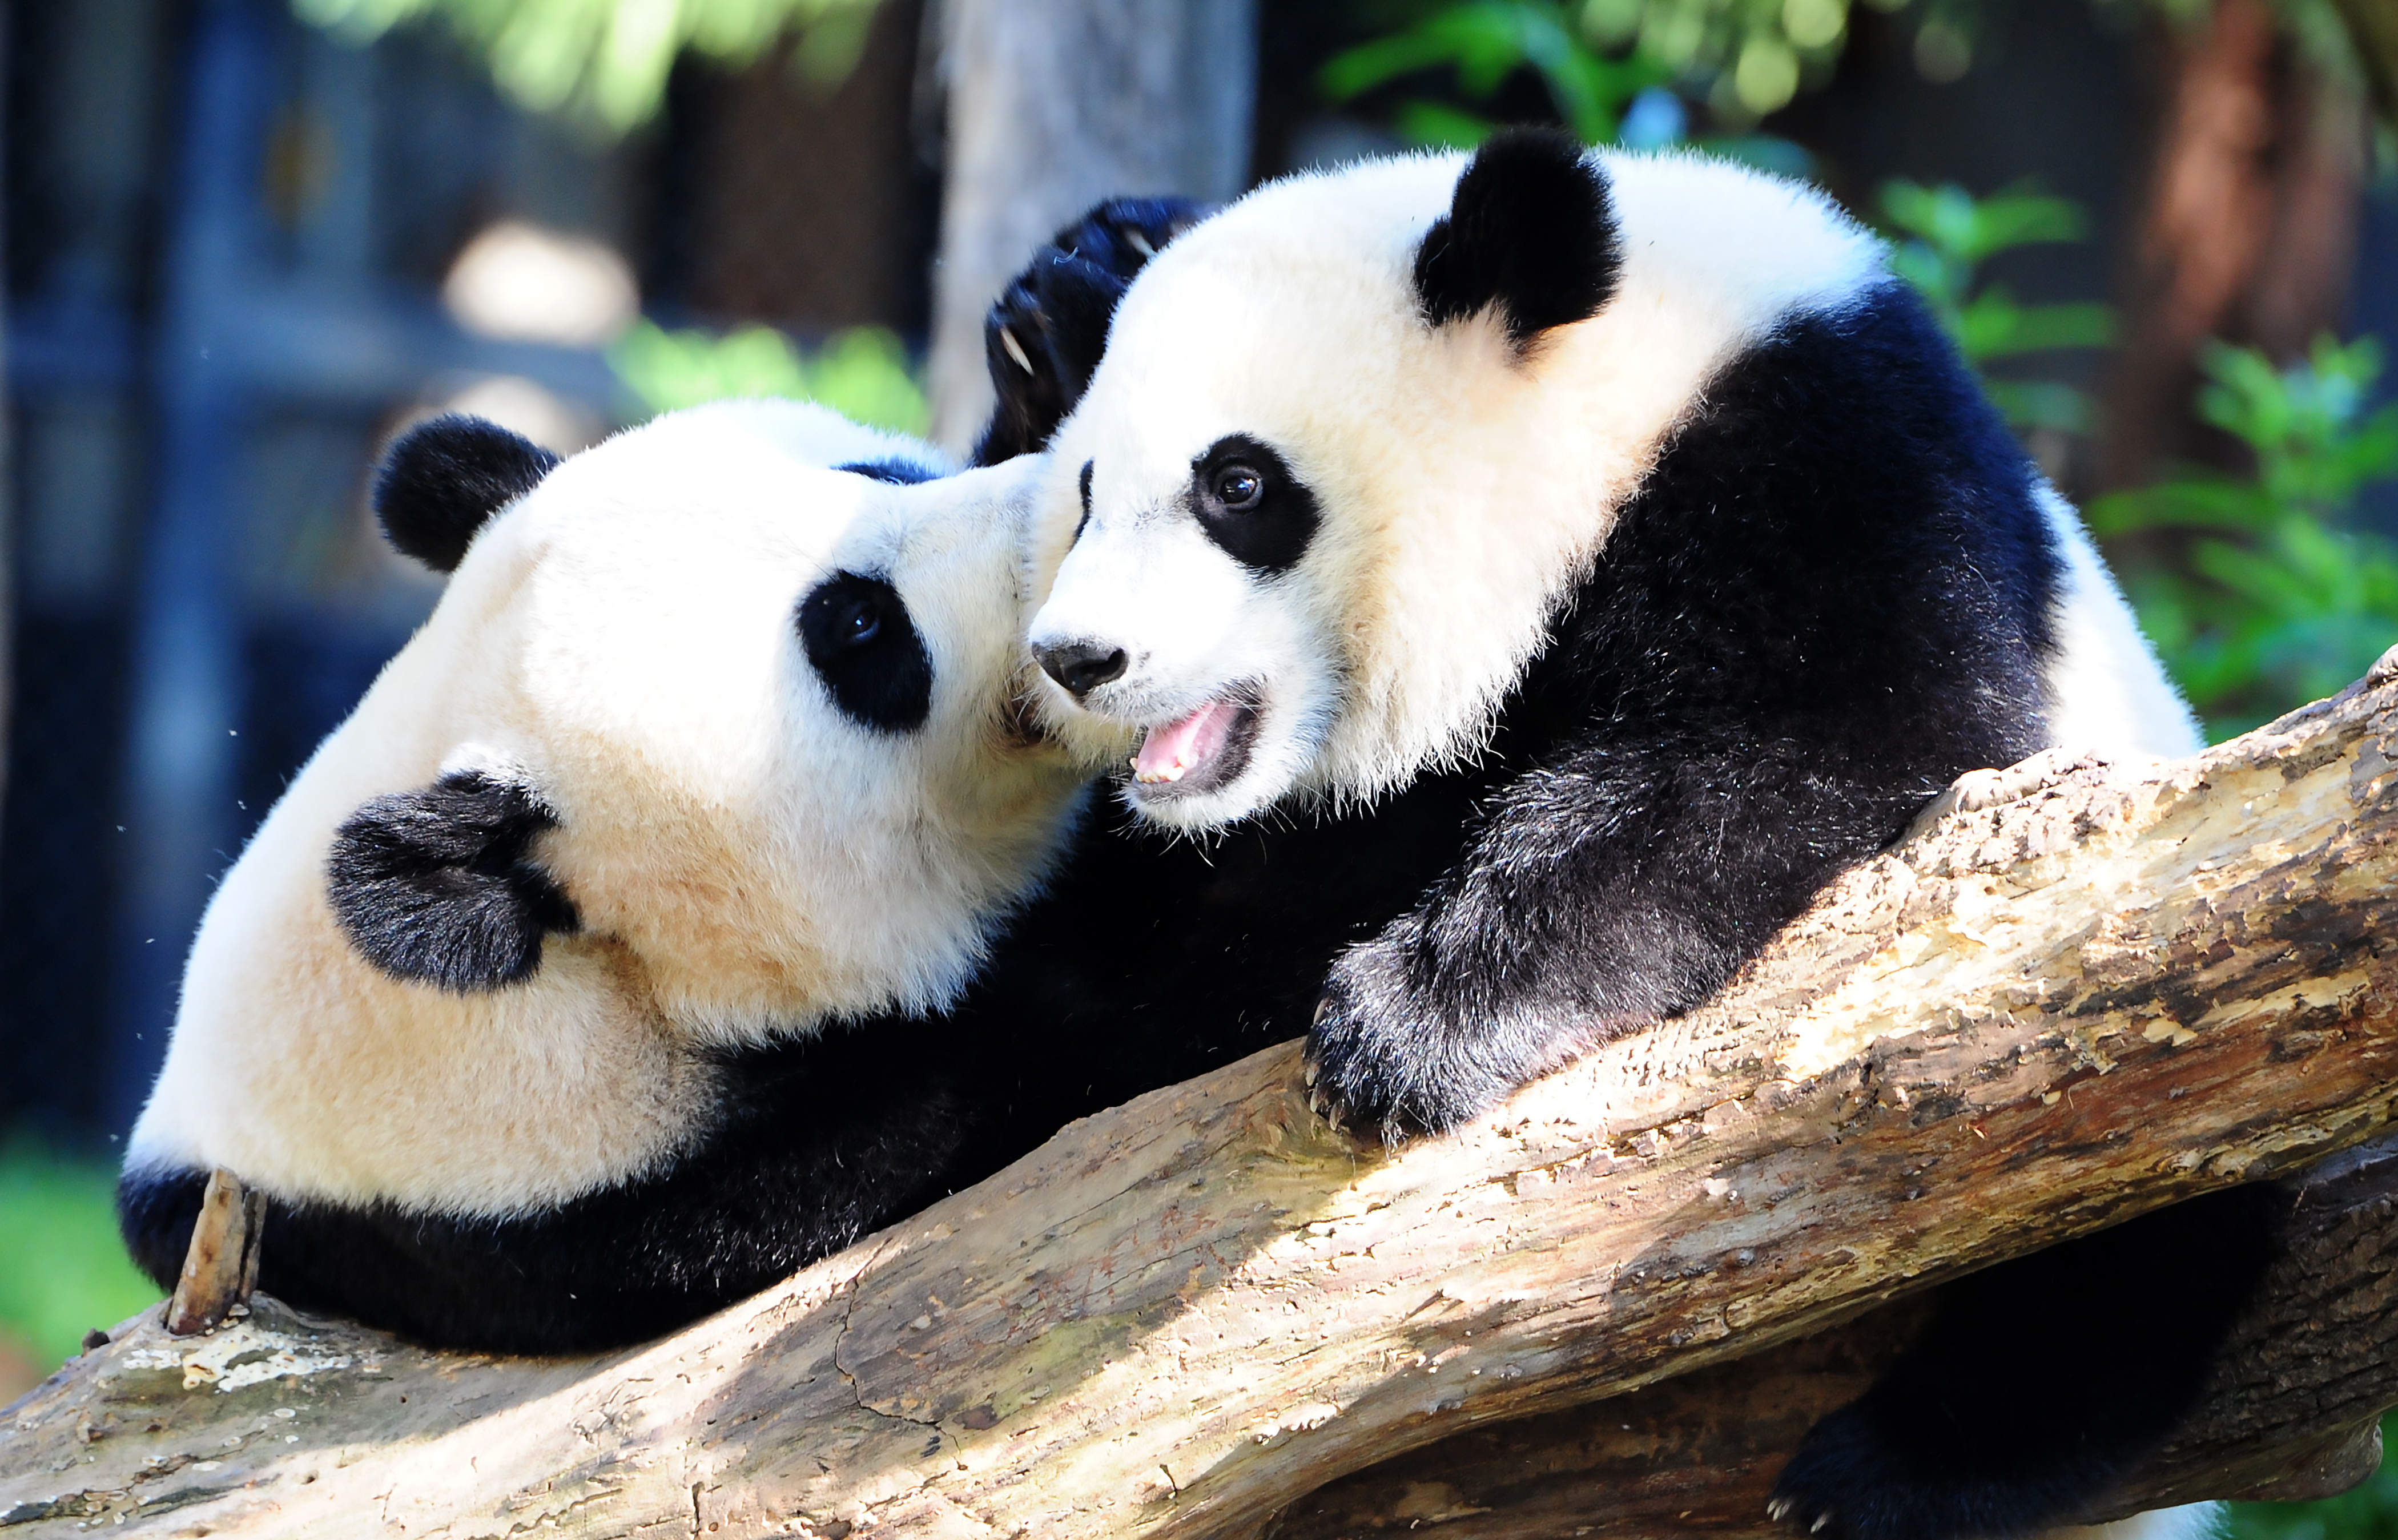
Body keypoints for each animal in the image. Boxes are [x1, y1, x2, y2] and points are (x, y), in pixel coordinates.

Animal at [978, 128, 2263, 1535]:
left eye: (1240, 482)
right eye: (1084, 495)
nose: (1080, 657)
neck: (1629, 397)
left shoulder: (1835, 471)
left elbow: (1820, 744)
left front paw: (1411, 1023)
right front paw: (1065, 293)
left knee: (2129, 1200)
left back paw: (1897, 1467)